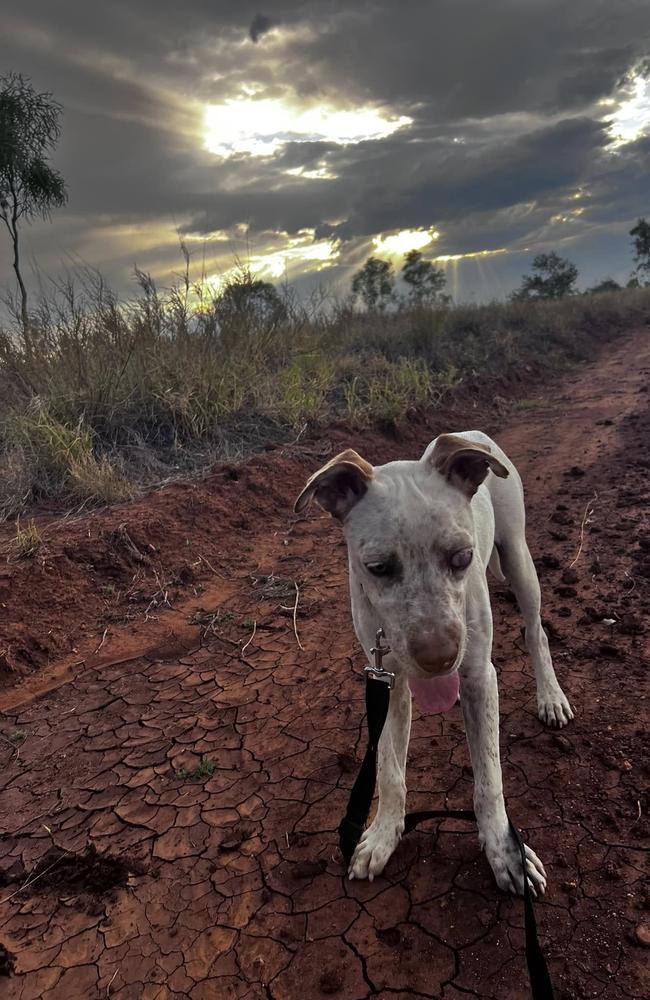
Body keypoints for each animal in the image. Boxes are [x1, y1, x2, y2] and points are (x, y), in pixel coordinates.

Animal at [294, 430, 572, 892]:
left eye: (462, 557)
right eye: (377, 567)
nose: (440, 660)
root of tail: (472, 433)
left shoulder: (478, 673)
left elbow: (489, 778)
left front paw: (505, 851)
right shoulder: (387, 678)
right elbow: (389, 769)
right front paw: (383, 834)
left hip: (518, 557)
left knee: (536, 631)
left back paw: (550, 696)